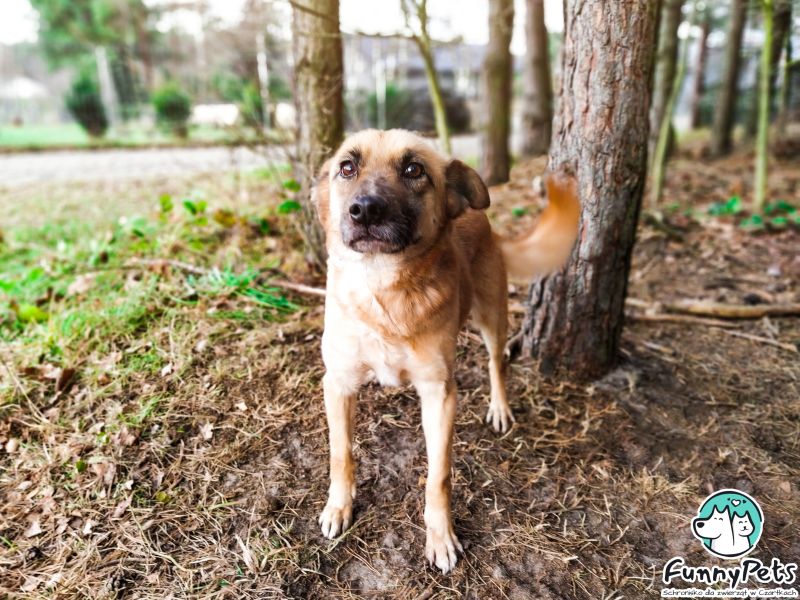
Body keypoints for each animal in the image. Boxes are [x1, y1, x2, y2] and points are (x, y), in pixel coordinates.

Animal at [313, 129, 580, 573]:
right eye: (346, 167)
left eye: (413, 169)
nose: (364, 210)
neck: (383, 293)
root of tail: (475, 214)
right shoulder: (338, 385)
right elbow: (340, 454)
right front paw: (339, 506)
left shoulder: (440, 395)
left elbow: (438, 475)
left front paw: (440, 536)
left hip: (491, 317)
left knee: (497, 362)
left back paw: (499, 407)